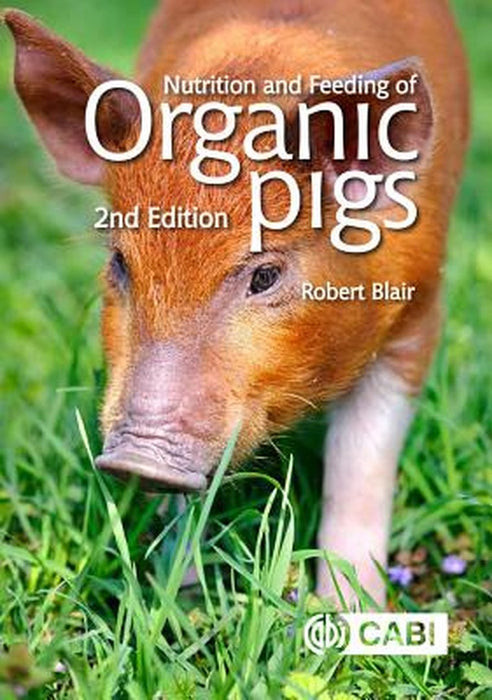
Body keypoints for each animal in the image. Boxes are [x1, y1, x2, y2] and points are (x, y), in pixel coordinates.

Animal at [4, 0, 468, 606]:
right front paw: (181, 595)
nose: (135, 459)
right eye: (120, 263)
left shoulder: (417, 314)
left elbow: (360, 468)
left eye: (265, 275)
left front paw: (346, 614)